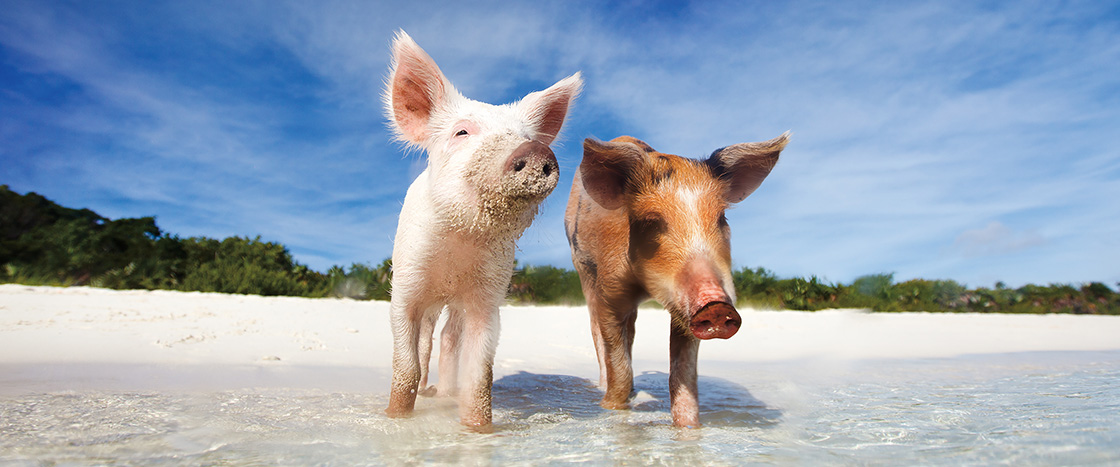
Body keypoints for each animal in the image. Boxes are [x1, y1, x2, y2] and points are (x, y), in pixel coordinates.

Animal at [382, 31, 582, 431]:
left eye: (525, 135)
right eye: (462, 131)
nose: (535, 151)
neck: (460, 241)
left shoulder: (488, 295)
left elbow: (480, 375)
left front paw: (478, 429)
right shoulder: (406, 283)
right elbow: (406, 365)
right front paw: (395, 418)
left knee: (448, 338)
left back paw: (444, 394)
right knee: (427, 339)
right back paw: (428, 393)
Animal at [564, 133, 788, 428]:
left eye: (722, 218)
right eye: (651, 221)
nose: (716, 306)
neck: (645, 286)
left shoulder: (686, 313)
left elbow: (683, 378)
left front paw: (689, 428)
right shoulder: (610, 293)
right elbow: (618, 368)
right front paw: (611, 409)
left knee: (632, 332)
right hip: (583, 270)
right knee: (596, 332)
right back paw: (602, 387)